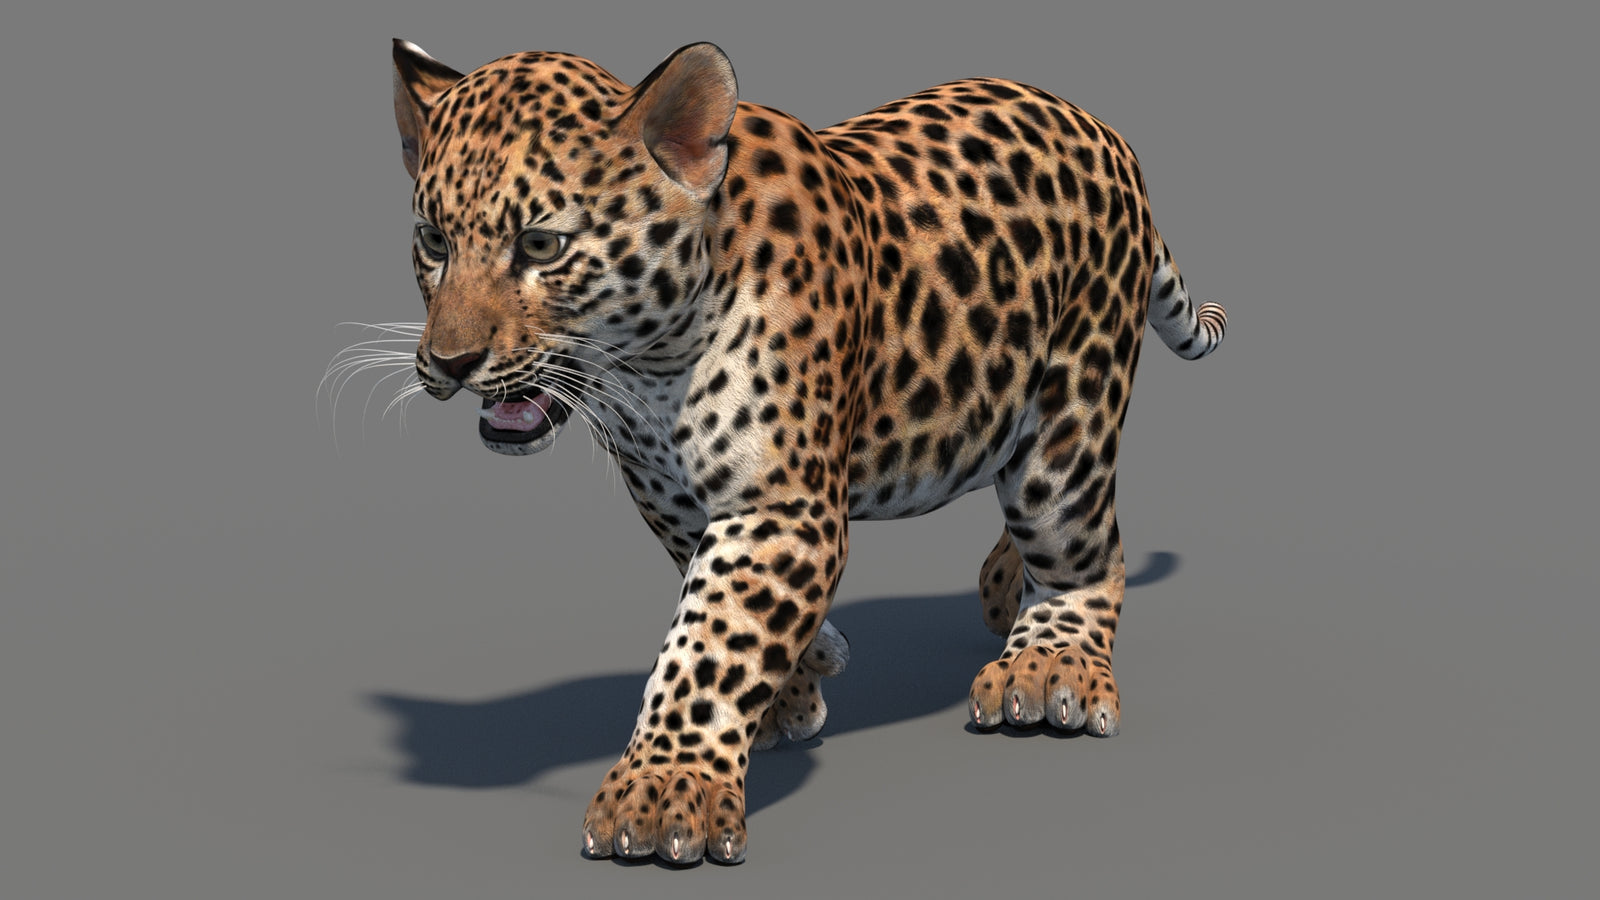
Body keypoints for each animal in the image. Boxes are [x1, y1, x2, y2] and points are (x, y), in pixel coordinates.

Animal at [386, 38, 1227, 865]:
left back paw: (1050, 666)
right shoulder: (669, 493)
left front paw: (664, 790)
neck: (648, 371)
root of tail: (1100, 129)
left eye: (541, 245)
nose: (449, 364)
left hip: (1069, 419)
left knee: (1087, 549)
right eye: (433, 242)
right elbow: (717, 599)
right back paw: (999, 585)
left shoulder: (782, 506)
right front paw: (800, 680)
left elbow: (711, 640)